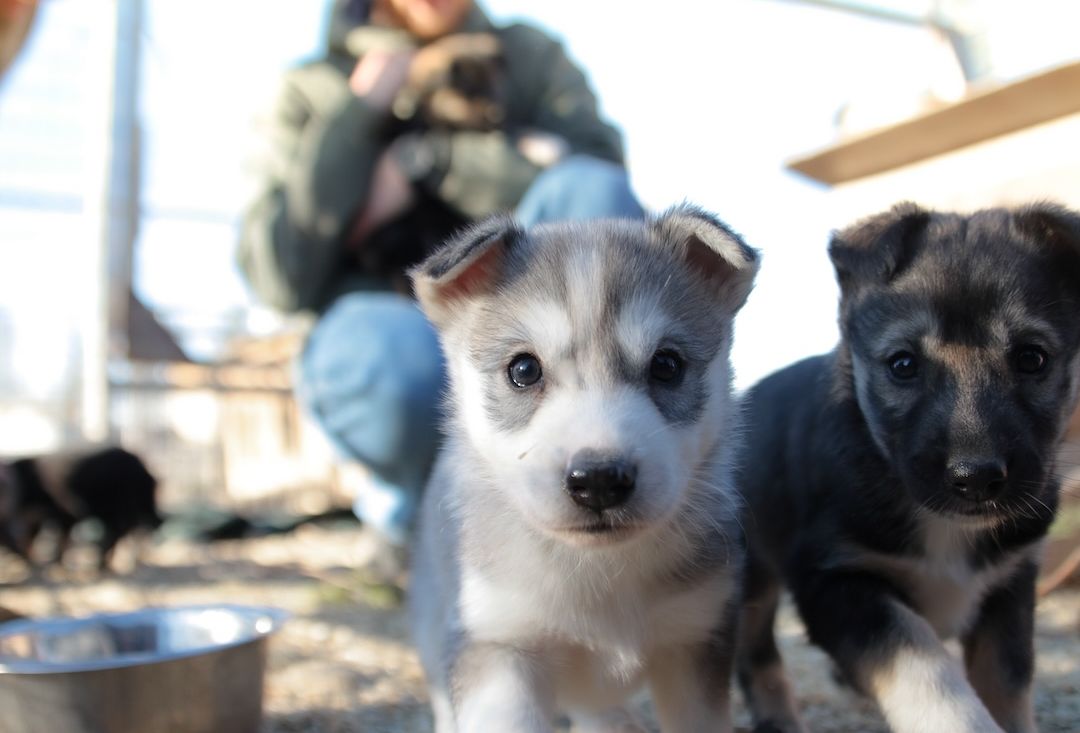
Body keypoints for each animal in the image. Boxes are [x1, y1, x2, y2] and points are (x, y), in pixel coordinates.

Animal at [0, 446, 159, 574]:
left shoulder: (65, 513)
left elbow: (62, 538)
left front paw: (56, 563)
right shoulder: (37, 517)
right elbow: (31, 538)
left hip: (117, 508)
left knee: (120, 532)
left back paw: (103, 564)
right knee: (123, 531)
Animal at [410, 208, 760, 733]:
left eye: (667, 365)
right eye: (523, 370)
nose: (598, 481)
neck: (597, 572)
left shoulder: (696, 640)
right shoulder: (498, 648)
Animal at [734, 204, 1080, 733]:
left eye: (1031, 358)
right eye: (902, 364)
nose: (976, 479)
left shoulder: (1011, 585)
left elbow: (1008, 679)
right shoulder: (834, 580)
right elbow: (921, 661)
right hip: (749, 575)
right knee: (756, 652)